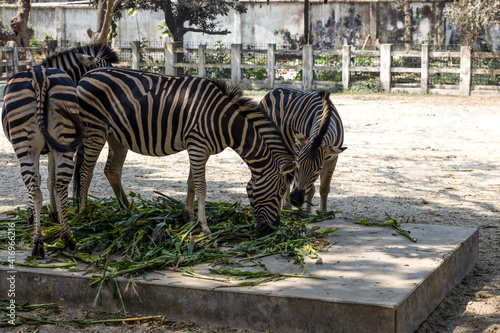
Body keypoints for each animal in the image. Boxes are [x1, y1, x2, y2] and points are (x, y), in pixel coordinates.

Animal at [1, 43, 119, 256]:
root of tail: (40, 77)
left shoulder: (46, 150)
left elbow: (45, 180)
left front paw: (40, 215)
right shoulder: (51, 149)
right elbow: (50, 181)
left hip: (28, 147)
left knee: (37, 187)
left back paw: (39, 243)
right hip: (61, 141)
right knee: (59, 187)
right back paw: (65, 240)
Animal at [72, 67, 294, 233]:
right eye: (280, 191)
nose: (272, 229)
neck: (223, 121)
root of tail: (86, 75)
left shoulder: (200, 149)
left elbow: (191, 184)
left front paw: (189, 216)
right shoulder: (197, 146)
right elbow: (202, 187)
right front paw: (204, 226)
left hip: (116, 136)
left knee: (111, 170)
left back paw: (128, 211)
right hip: (95, 131)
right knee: (85, 172)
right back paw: (83, 215)